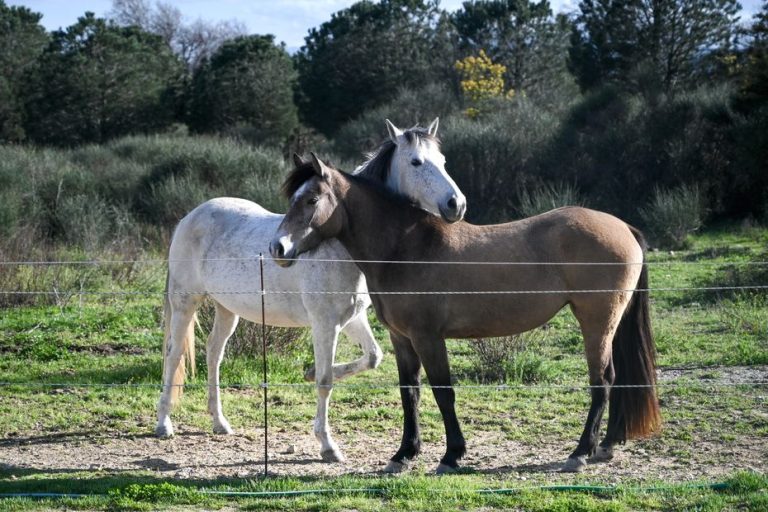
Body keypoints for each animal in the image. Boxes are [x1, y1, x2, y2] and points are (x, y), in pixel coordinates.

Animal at [155, 119, 467, 463]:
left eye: (443, 161)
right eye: (416, 162)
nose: (456, 204)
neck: (338, 247)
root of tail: (189, 217)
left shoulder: (351, 319)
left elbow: (372, 357)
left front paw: (308, 373)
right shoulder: (325, 324)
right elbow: (325, 381)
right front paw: (328, 446)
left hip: (227, 309)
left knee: (214, 353)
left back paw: (219, 422)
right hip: (185, 303)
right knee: (174, 354)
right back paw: (164, 424)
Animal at [269, 155, 662, 473]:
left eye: (312, 199)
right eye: (292, 198)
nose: (278, 248)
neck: (406, 249)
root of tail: (624, 227)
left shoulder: (428, 337)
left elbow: (443, 392)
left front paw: (451, 455)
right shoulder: (402, 338)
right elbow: (409, 393)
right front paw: (404, 455)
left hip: (596, 320)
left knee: (603, 380)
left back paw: (581, 452)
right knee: (617, 379)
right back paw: (605, 446)